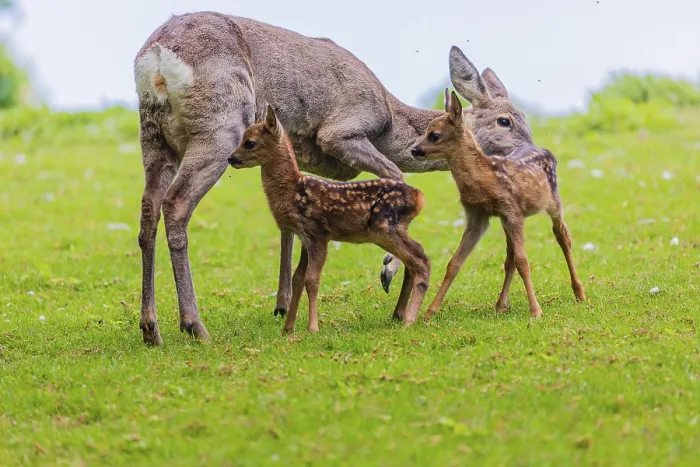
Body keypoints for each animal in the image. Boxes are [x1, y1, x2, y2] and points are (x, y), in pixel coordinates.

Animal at [228, 106, 431, 331]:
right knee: (416, 256)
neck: (292, 188)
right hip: (393, 229)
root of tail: (419, 197)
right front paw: (288, 329)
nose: (231, 158)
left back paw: (409, 319)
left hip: (385, 227)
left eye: (250, 142)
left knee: (420, 260)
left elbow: (312, 279)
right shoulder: (305, 237)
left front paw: (313, 328)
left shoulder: (318, 232)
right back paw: (399, 314)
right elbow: (298, 278)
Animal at [410, 90, 586, 318]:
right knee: (510, 255)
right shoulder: (478, 216)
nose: (414, 150)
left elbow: (523, 261)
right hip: (505, 220)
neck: (485, 179)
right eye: (426, 131)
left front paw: (536, 311)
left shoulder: (513, 211)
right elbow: (455, 262)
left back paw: (579, 292)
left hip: (554, 202)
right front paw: (430, 311)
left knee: (562, 235)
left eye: (434, 135)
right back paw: (501, 304)